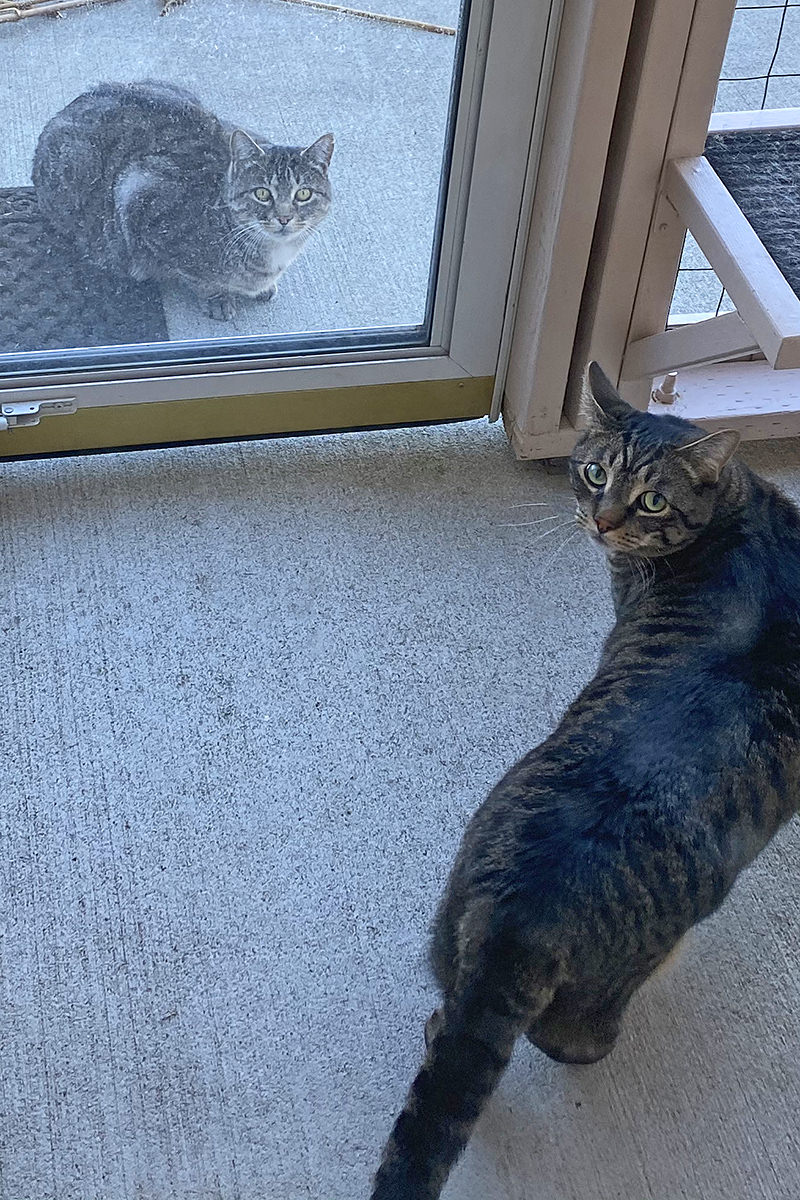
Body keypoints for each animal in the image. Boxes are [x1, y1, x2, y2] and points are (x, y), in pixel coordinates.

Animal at [371, 362, 800, 1200]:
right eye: (596, 471)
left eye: (653, 499)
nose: (601, 522)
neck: (742, 516)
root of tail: (520, 914)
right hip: (609, 982)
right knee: (570, 1042)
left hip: (447, 926)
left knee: (445, 1011)